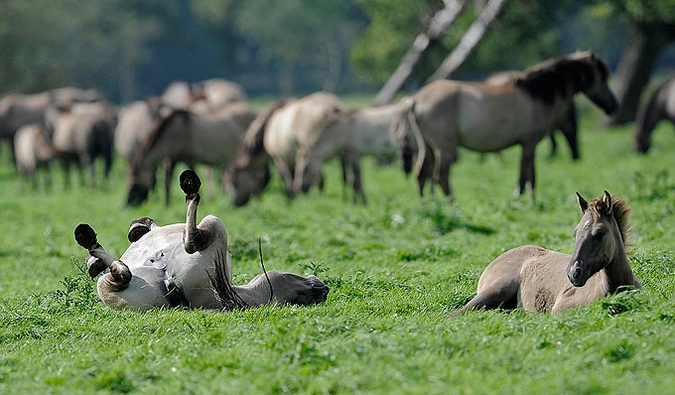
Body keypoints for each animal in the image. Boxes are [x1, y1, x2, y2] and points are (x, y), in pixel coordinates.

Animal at [398, 51, 620, 196]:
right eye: (602, 78)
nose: (614, 105)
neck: (537, 94)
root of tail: (417, 99)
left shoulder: (528, 145)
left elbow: (530, 177)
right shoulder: (529, 144)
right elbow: (526, 178)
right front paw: (522, 200)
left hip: (426, 146)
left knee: (421, 174)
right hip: (444, 148)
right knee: (440, 177)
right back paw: (454, 208)